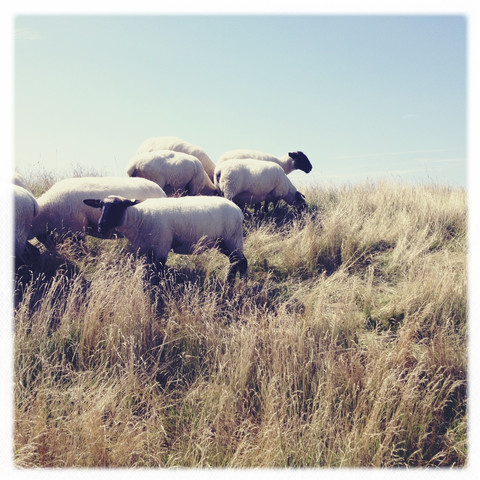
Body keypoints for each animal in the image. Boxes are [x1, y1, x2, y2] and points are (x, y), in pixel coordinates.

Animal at [83, 195, 248, 284]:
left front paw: (154, 293)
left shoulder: (162, 246)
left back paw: (239, 285)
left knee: (241, 261)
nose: (101, 226)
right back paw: (232, 283)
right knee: (236, 261)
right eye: (100, 206)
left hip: (232, 238)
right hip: (222, 243)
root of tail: (238, 210)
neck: (139, 218)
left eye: (118, 206)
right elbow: (147, 271)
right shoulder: (146, 249)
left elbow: (157, 272)